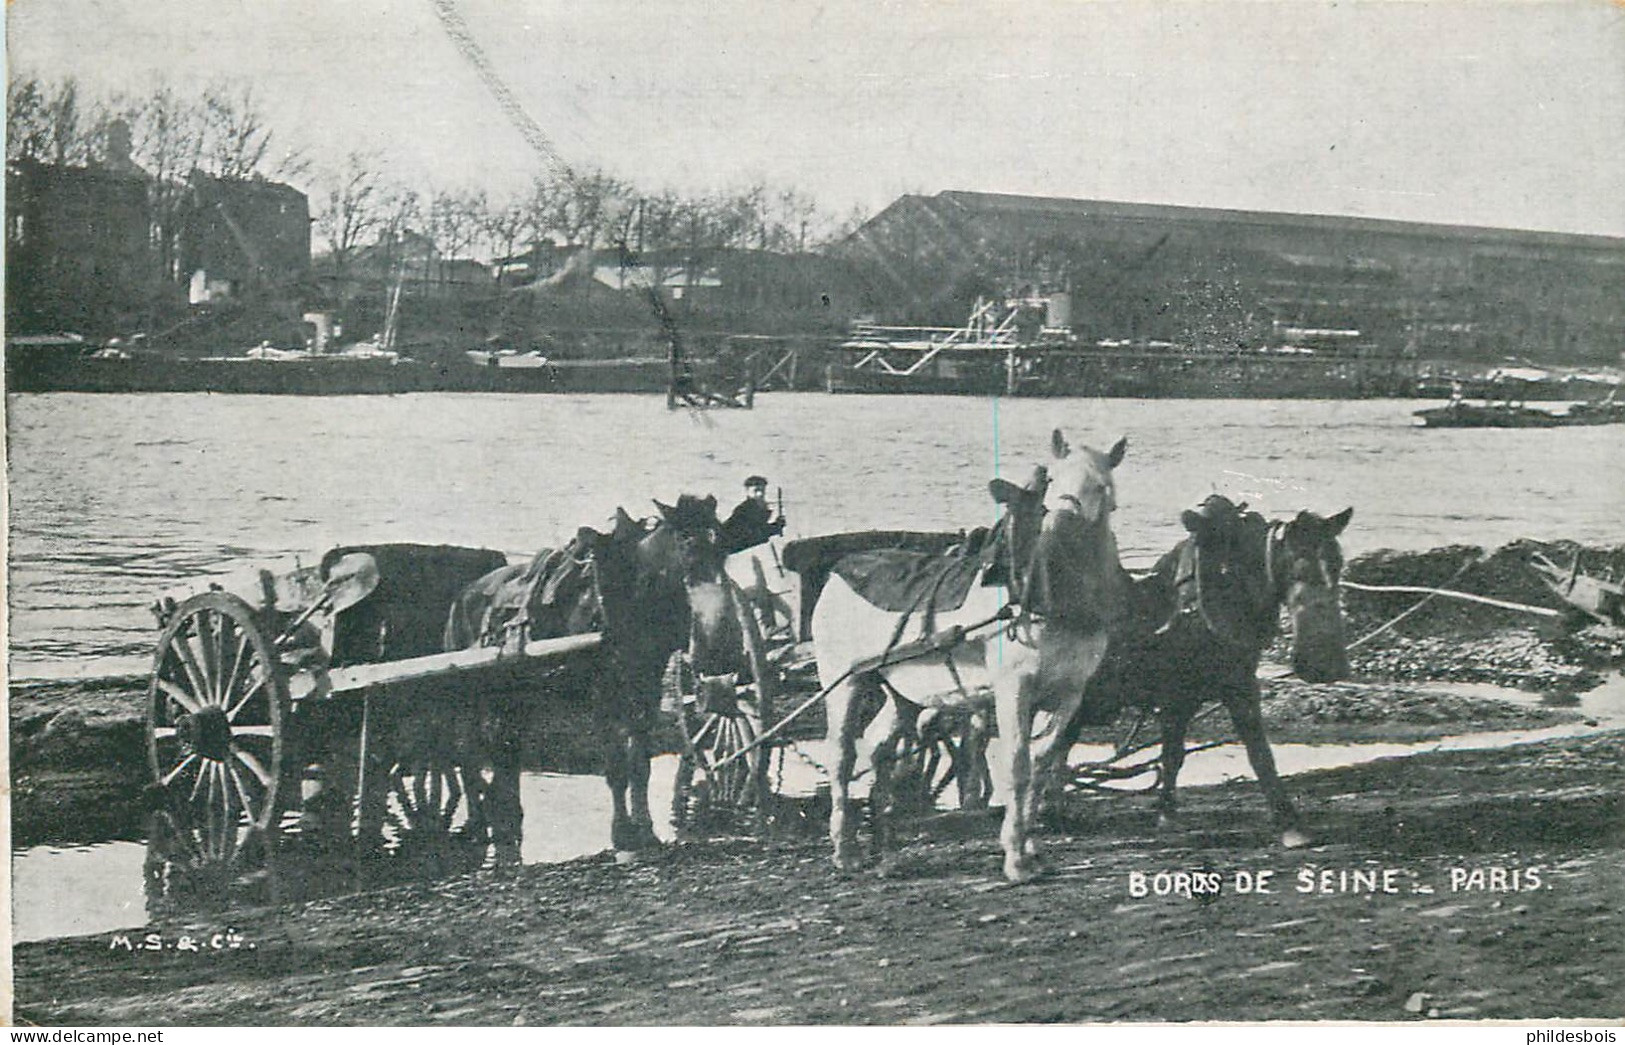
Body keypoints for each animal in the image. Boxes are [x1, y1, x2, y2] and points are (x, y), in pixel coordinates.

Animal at [442, 497, 728, 858]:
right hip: (470, 695)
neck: (631, 598)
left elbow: (640, 765)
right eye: (686, 539)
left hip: (514, 696)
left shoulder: (646, 688)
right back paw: (480, 822)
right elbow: (617, 768)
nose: (716, 612)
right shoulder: (602, 691)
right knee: (468, 750)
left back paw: (507, 817)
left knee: (507, 748)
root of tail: (462, 595)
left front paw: (646, 831)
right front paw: (622, 834)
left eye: (721, 539)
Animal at [812, 432, 1131, 884]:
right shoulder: (1014, 689)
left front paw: (1031, 849)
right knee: (841, 757)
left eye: (1102, 487)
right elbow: (1016, 765)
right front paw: (1015, 858)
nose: (1061, 527)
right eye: (1052, 482)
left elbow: (1041, 762)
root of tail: (841, 569)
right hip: (845, 680)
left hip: (902, 691)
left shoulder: (1069, 693)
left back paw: (884, 846)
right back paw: (846, 851)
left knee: (878, 747)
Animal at [1059, 494, 1352, 845]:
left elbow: (1259, 754)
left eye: (1337, 563)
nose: (1324, 664)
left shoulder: (1239, 685)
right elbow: (1173, 754)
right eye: (1296, 564)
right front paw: (1167, 814)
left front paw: (1289, 823)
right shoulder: (1175, 696)